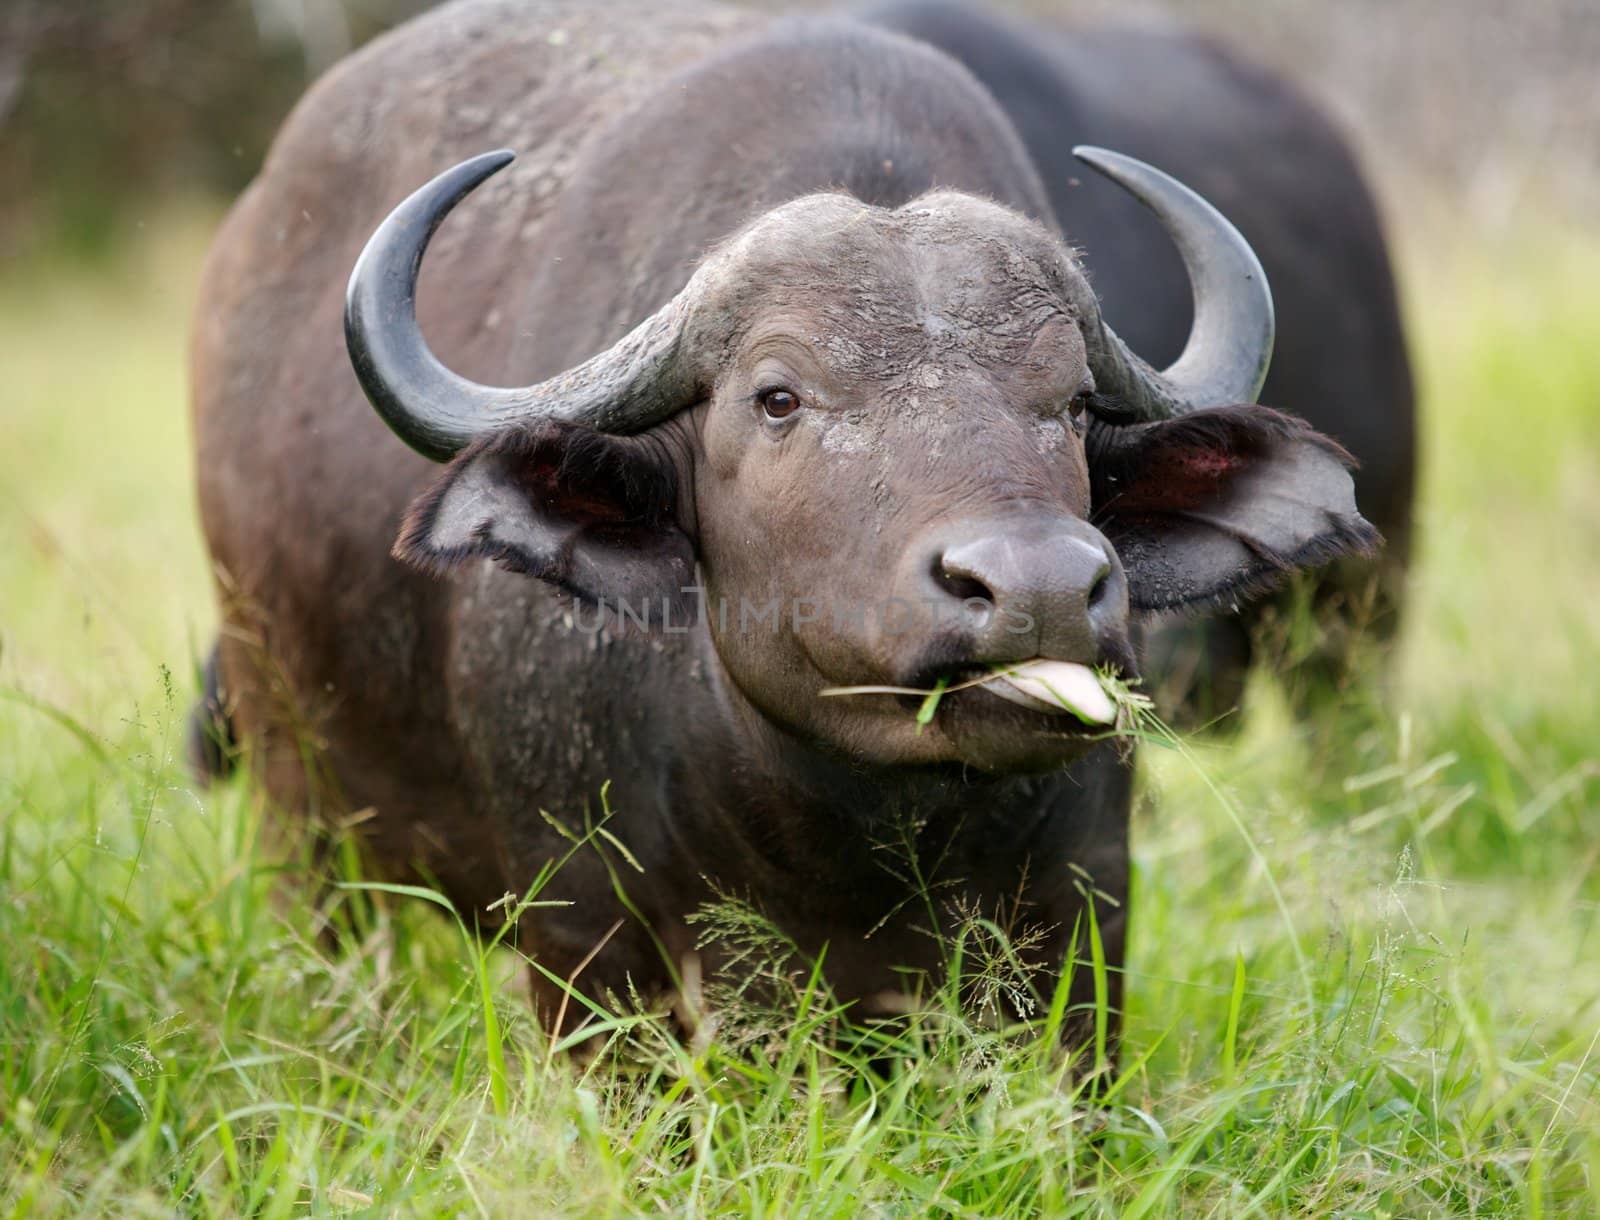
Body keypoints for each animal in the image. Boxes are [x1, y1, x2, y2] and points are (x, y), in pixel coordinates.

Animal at [187, 0, 1395, 1037]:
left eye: (1067, 402)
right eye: (778, 398)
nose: (1042, 587)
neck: (847, 833)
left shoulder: (1085, 921)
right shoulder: (584, 939)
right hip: (307, 823)